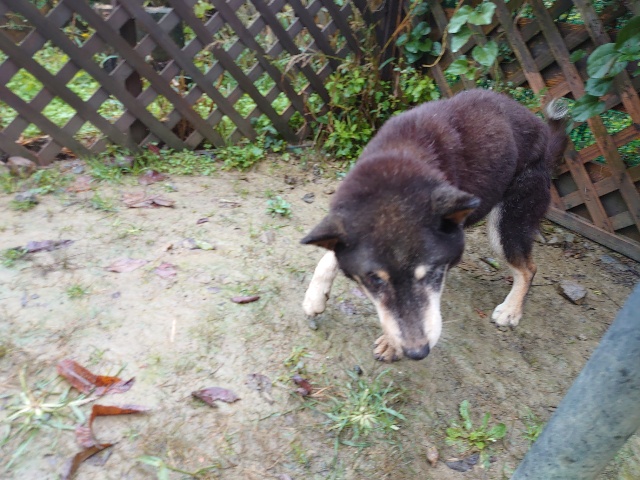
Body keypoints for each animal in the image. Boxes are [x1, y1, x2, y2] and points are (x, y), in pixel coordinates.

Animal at [301, 89, 568, 362]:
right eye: (374, 281)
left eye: (432, 273)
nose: (417, 352)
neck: (398, 158)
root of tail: (547, 143)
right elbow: (329, 256)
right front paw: (315, 296)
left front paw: (390, 345)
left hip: (505, 224)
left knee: (528, 269)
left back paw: (511, 310)